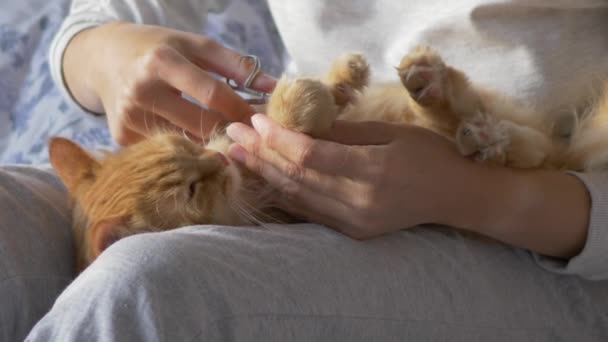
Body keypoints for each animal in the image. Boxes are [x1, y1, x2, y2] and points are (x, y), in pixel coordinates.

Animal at [50, 46, 608, 270]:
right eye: (190, 190)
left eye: (185, 147)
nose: (218, 163)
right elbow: (287, 119)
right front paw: (303, 99)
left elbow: (310, 100)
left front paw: (338, 77)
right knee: (517, 148)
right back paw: (475, 128)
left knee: (513, 136)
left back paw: (436, 87)